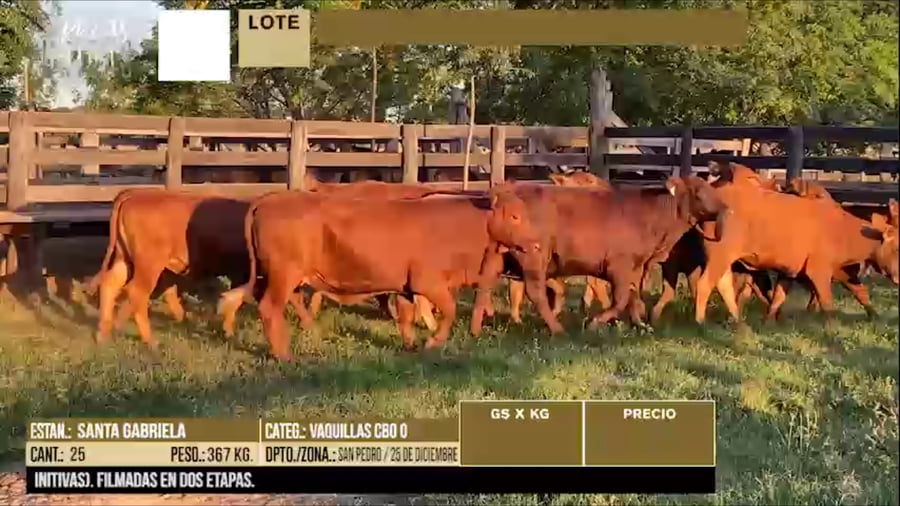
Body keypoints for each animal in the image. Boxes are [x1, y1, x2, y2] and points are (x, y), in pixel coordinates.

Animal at [218, 187, 544, 362]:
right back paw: (284, 355)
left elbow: (406, 317)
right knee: (269, 309)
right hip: (283, 276)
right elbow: (449, 311)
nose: (537, 243)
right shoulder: (430, 283)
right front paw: (433, 342)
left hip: (279, 277)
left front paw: (411, 346)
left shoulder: (405, 288)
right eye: (515, 216)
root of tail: (271, 198)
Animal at [470, 176, 728, 336]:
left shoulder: (635, 267)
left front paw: (640, 324)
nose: (725, 207)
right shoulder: (620, 266)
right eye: (699, 191)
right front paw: (595, 323)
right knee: (536, 293)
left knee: (485, 285)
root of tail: (505, 190)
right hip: (532, 257)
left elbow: (634, 296)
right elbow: (621, 299)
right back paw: (557, 329)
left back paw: (476, 329)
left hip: (497, 255)